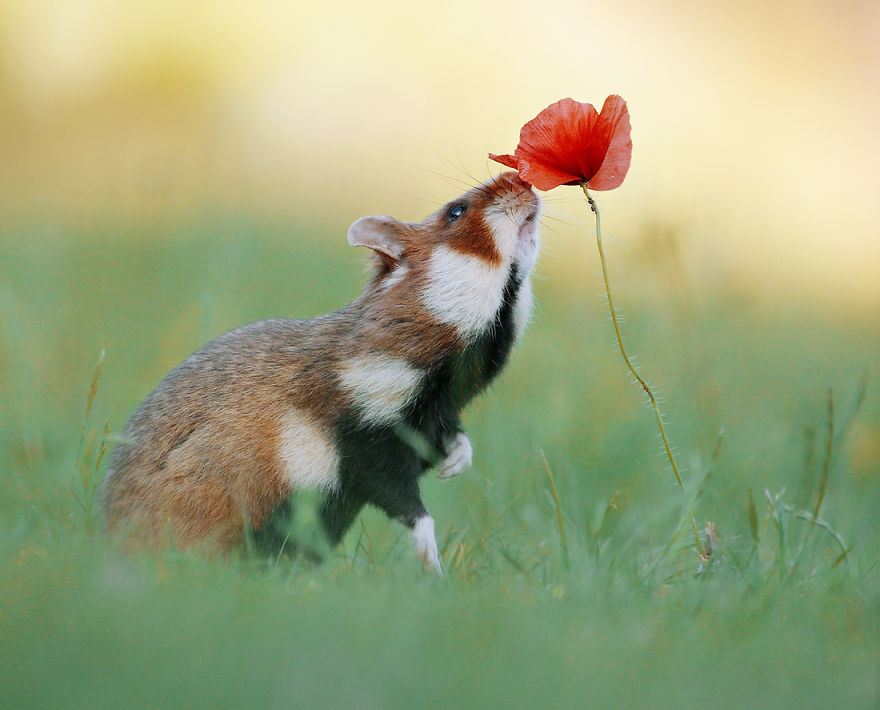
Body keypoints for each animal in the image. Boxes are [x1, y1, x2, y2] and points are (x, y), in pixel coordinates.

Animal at [99, 170, 541, 574]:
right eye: (456, 211)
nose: (521, 177)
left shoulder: (432, 422)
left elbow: (453, 442)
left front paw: (455, 465)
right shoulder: (370, 447)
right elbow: (413, 511)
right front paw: (431, 566)